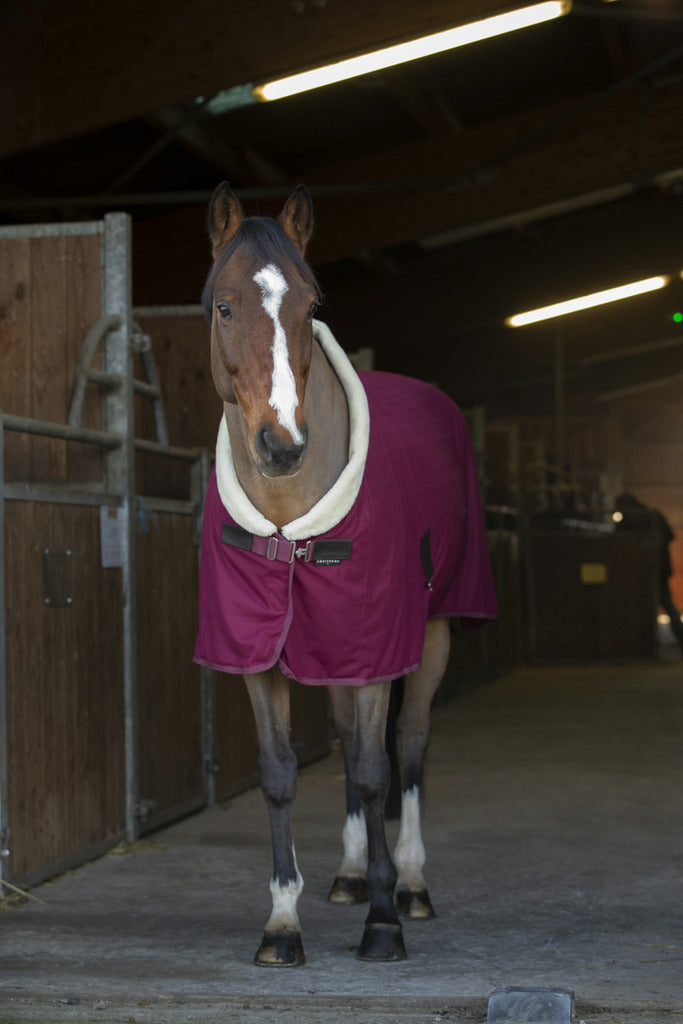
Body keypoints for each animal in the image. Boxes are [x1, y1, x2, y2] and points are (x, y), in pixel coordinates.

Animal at [192, 186, 497, 966]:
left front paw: (384, 923)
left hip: (432, 632)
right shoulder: (257, 654)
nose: (280, 445)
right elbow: (280, 774)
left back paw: (408, 885)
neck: (286, 521)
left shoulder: (373, 652)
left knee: (409, 745)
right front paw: (282, 923)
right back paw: (354, 874)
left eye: (309, 304)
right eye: (224, 306)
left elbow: (370, 768)